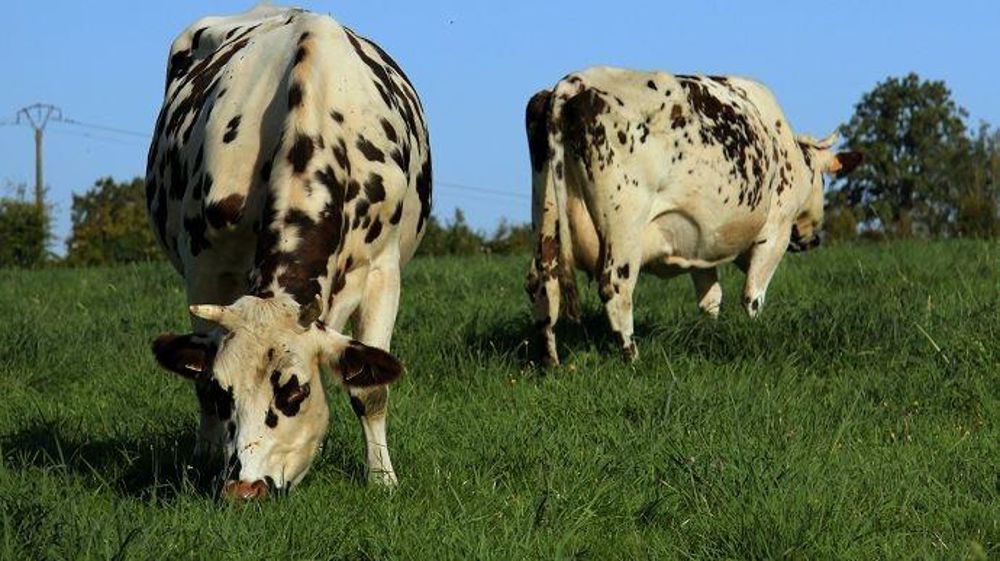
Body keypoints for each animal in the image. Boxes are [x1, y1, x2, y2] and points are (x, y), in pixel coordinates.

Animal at [145, 5, 431, 499]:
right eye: (225, 392)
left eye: (294, 392)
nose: (244, 488)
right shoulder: (205, 270)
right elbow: (199, 379)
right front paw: (205, 463)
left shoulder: (382, 271)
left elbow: (370, 391)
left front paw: (382, 480)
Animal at [525, 66, 860, 365]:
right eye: (824, 181)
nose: (813, 239)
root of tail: (575, 82)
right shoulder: (775, 231)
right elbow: (752, 295)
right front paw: (754, 329)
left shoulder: (701, 242)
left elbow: (710, 299)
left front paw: (710, 335)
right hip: (624, 226)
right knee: (615, 287)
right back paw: (632, 358)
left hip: (546, 215)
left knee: (542, 284)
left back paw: (551, 362)